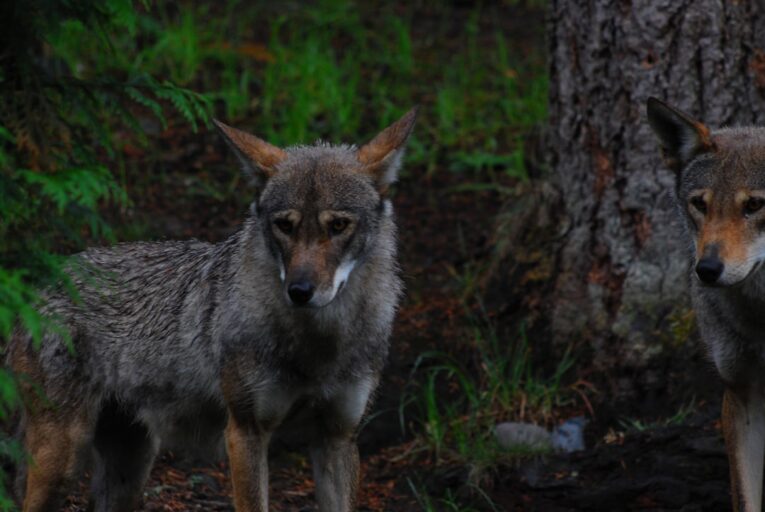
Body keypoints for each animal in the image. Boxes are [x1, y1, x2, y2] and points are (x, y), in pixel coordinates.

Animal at [8, 107, 417, 511]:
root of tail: (39, 286)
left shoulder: (338, 437)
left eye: (339, 226)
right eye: (284, 226)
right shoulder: (245, 432)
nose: (299, 291)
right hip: (64, 463)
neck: (318, 345)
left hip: (129, 471)